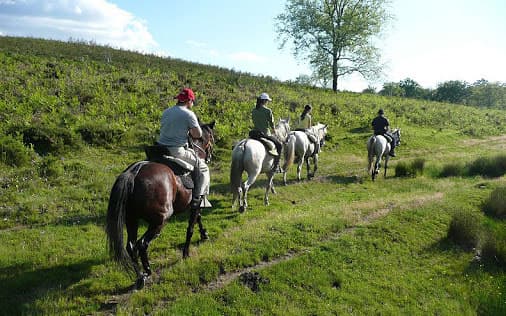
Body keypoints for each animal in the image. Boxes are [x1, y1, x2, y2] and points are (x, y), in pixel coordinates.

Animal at [105, 121, 216, 288]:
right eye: (212, 139)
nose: (209, 157)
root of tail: (133, 173)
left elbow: (198, 219)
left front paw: (204, 234)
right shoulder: (197, 201)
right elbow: (191, 227)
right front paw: (186, 253)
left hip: (131, 219)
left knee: (131, 246)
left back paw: (140, 276)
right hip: (159, 220)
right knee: (142, 244)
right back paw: (147, 271)